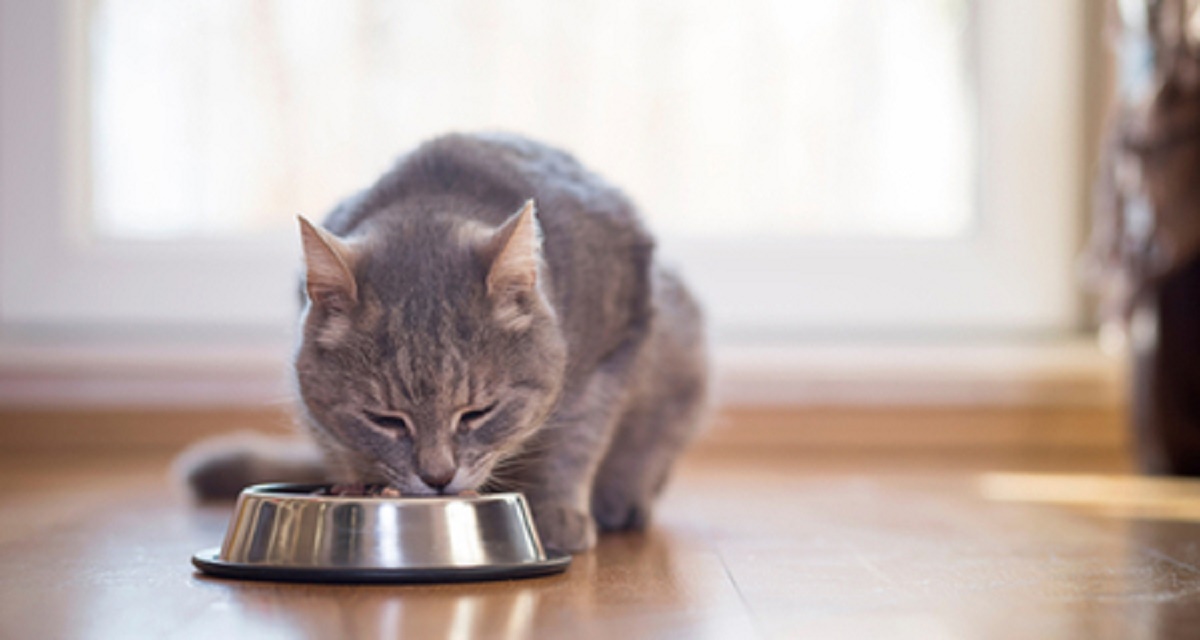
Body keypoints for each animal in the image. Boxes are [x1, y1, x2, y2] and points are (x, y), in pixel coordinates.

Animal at [176, 132, 700, 552]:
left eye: (478, 413)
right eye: (384, 419)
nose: (438, 477)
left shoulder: (615, 346)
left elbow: (575, 439)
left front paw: (556, 513)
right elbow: (343, 446)